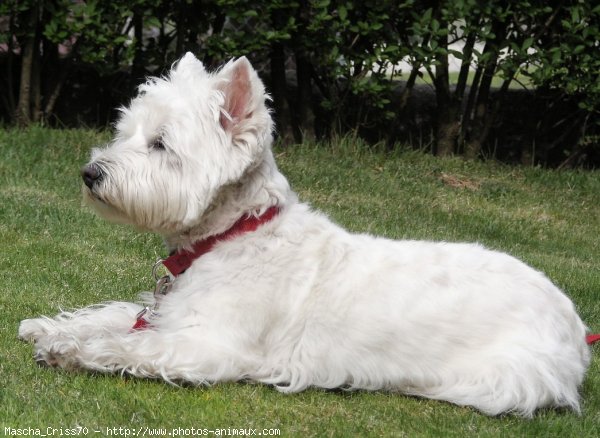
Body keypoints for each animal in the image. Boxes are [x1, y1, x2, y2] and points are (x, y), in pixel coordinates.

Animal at [18, 53, 592, 416]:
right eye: (126, 132)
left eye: (161, 144)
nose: (90, 173)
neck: (232, 234)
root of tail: (574, 326)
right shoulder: (168, 309)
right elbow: (119, 314)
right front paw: (46, 326)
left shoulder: (209, 344)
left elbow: (129, 344)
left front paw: (67, 348)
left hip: (502, 375)